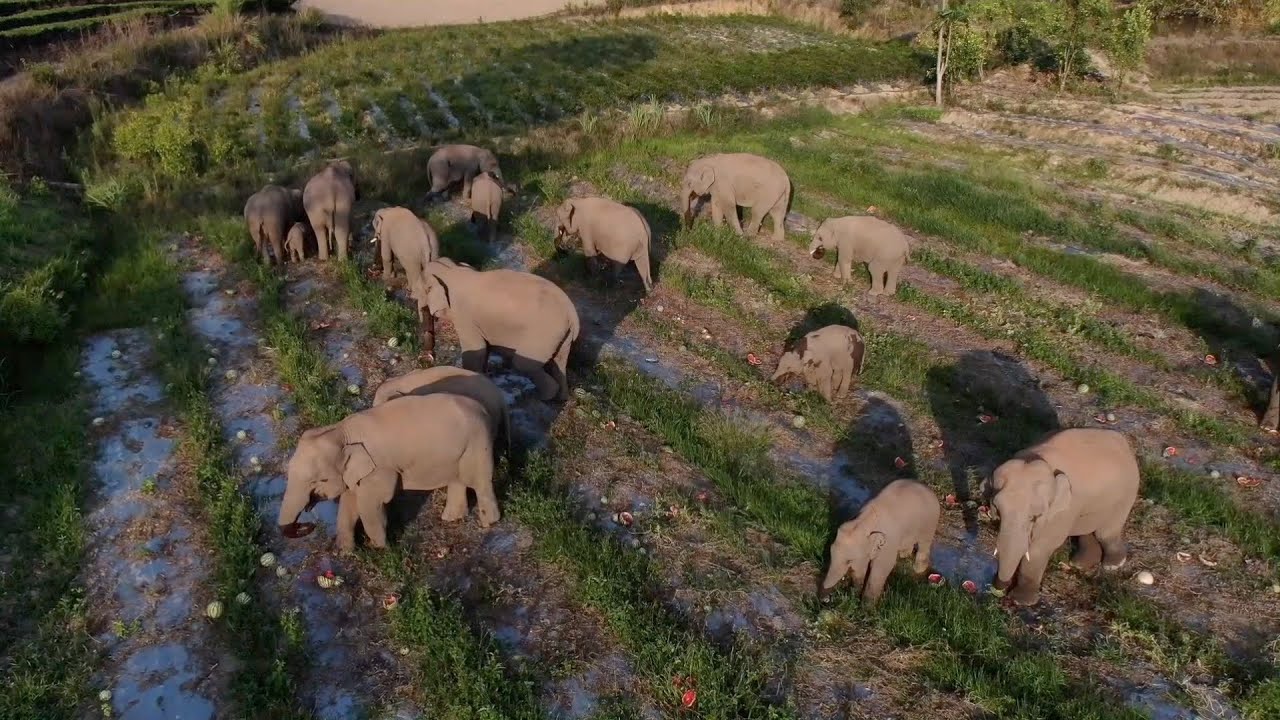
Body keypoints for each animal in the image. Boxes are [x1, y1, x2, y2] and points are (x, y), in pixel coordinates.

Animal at [278, 393, 498, 553]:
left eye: (320, 480)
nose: (308, 526)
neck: (341, 431)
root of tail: (484, 409)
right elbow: (350, 502)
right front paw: (344, 552)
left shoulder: (379, 468)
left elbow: (370, 504)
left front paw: (379, 549)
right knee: (458, 479)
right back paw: (451, 519)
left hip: (478, 444)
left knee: (480, 482)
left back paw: (489, 524)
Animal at [413, 258, 579, 401]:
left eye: (421, 293)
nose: (426, 359)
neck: (452, 269)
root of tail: (572, 314)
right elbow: (484, 349)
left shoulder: (464, 316)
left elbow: (475, 350)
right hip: (562, 335)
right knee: (559, 363)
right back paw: (561, 399)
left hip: (542, 334)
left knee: (523, 364)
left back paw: (543, 397)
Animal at [983, 427, 1140, 606]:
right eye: (997, 510)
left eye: (1035, 517)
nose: (998, 587)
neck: (1036, 458)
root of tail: (1122, 439)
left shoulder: (1063, 511)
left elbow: (1041, 548)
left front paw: (1022, 601)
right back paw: (1080, 564)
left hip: (1127, 491)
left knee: (1106, 532)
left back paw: (1112, 565)